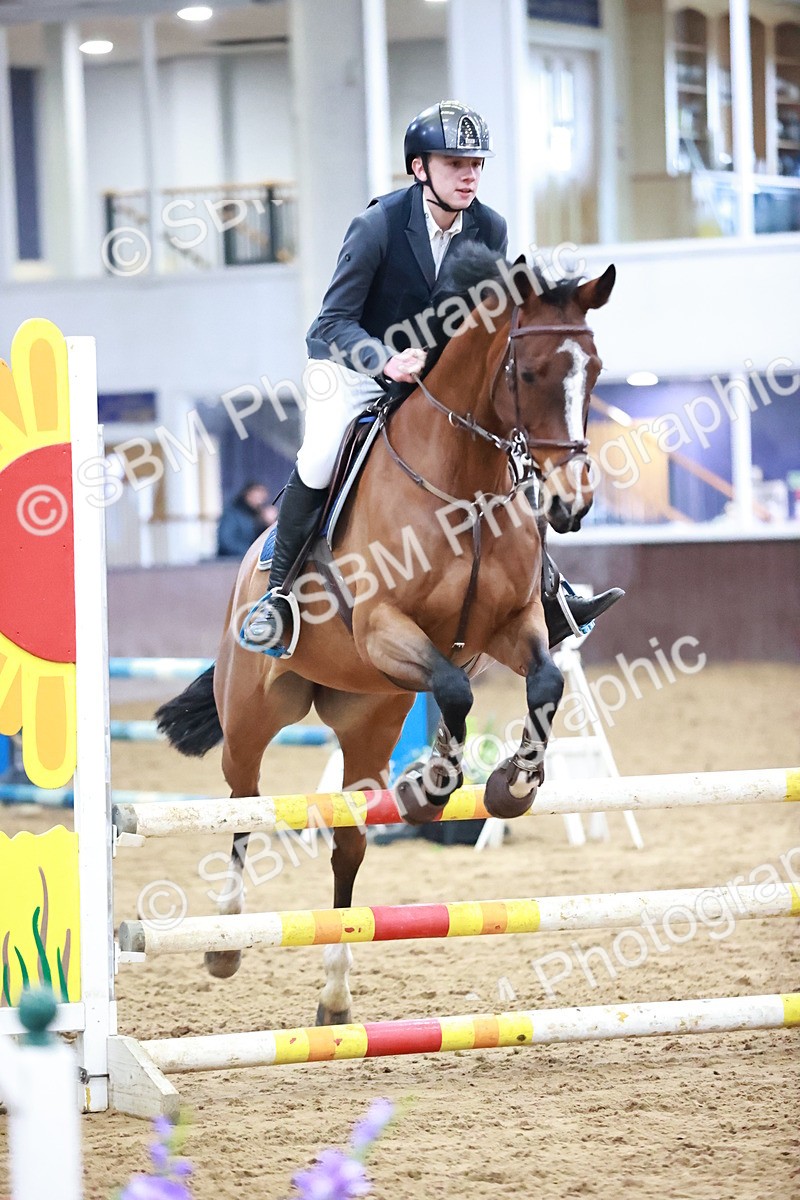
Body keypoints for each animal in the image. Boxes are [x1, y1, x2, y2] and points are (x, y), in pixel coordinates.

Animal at [157, 246, 616, 1024]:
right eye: (528, 374)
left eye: (597, 370)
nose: (571, 502)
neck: (464, 488)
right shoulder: (382, 630)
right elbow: (456, 690)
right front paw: (434, 788)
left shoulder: (513, 626)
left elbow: (545, 682)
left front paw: (508, 788)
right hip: (253, 712)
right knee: (242, 806)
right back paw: (224, 944)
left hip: (368, 718)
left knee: (348, 844)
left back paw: (336, 999)